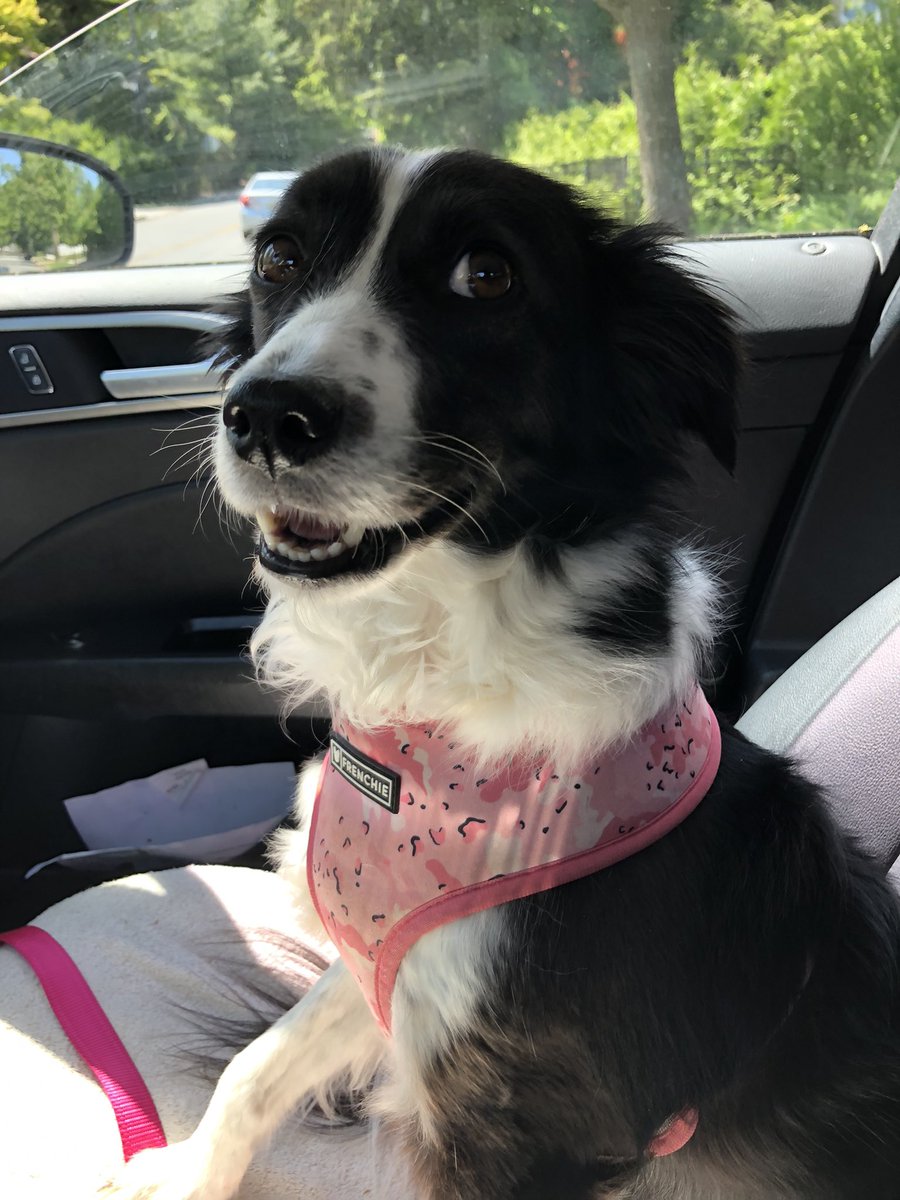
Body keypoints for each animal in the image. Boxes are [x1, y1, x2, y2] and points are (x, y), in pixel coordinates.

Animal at [107, 150, 900, 1200]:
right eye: (278, 254)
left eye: (487, 276)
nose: (268, 415)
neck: (445, 674)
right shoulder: (386, 972)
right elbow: (256, 1065)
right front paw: (186, 1174)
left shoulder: (525, 1119)